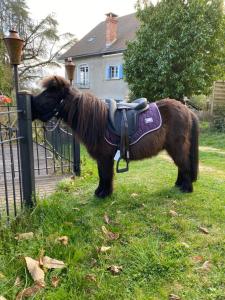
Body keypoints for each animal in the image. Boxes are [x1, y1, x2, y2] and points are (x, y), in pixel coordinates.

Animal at [31, 75, 199, 197]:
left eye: (48, 94)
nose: (31, 107)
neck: (97, 121)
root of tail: (187, 110)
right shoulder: (102, 158)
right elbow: (102, 175)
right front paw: (100, 192)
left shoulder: (104, 157)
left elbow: (105, 175)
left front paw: (104, 194)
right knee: (181, 166)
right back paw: (179, 185)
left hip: (177, 147)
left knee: (184, 165)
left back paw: (186, 188)